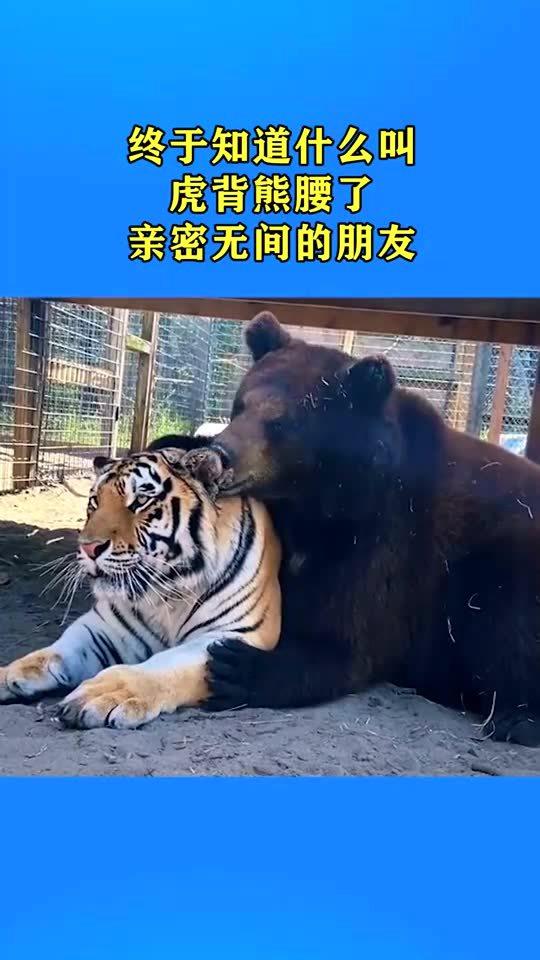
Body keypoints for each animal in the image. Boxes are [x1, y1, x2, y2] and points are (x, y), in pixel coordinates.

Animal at [0, 441, 281, 729]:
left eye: (141, 501)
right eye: (94, 502)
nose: (88, 548)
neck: (169, 591)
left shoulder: (233, 635)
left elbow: (164, 665)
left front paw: (103, 694)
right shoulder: (104, 628)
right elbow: (53, 653)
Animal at [182, 310, 540, 748]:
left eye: (281, 422)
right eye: (240, 405)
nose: (220, 454)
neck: (323, 501)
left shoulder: (390, 541)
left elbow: (349, 637)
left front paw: (237, 666)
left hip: (505, 561)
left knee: (507, 624)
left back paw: (517, 717)